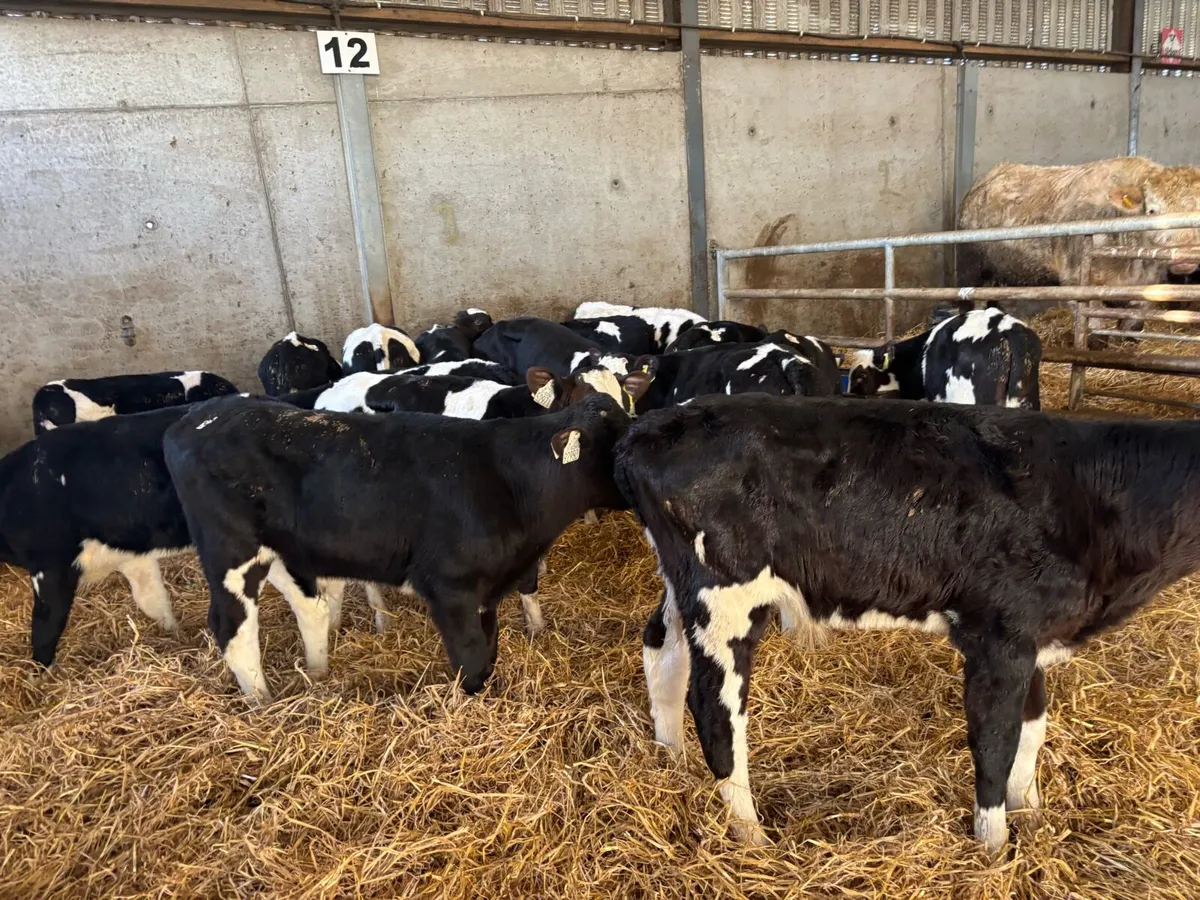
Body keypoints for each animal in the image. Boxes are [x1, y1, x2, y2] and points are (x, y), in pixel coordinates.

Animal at [163, 393, 632, 701]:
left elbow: (490, 646)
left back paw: (318, 673)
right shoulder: (450, 587)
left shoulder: (488, 589)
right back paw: (261, 701)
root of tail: (201, 414)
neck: (512, 481)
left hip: (279, 551)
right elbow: (472, 659)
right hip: (230, 550)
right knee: (233, 624)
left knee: (308, 608)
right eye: (618, 443)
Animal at [616, 393, 1200, 853]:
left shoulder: (1035, 635)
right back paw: (750, 833)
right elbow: (996, 742)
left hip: (684, 590)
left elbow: (1033, 731)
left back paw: (671, 761)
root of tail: (651, 427)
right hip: (726, 599)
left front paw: (1032, 815)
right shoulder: (998, 638)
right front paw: (994, 850)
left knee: (661, 652)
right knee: (717, 710)